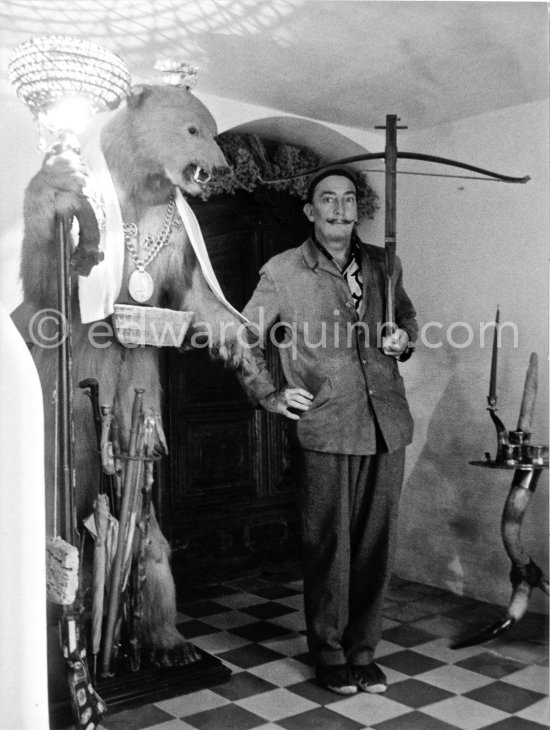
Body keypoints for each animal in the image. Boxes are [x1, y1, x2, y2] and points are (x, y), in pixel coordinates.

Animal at [12, 84, 254, 664]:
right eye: (193, 128)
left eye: (214, 127)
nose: (221, 167)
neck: (141, 195)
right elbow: (54, 289)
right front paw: (55, 184)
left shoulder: (180, 243)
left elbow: (200, 298)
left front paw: (242, 347)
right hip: (61, 413)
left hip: (134, 401)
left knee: (148, 529)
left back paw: (165, 642)